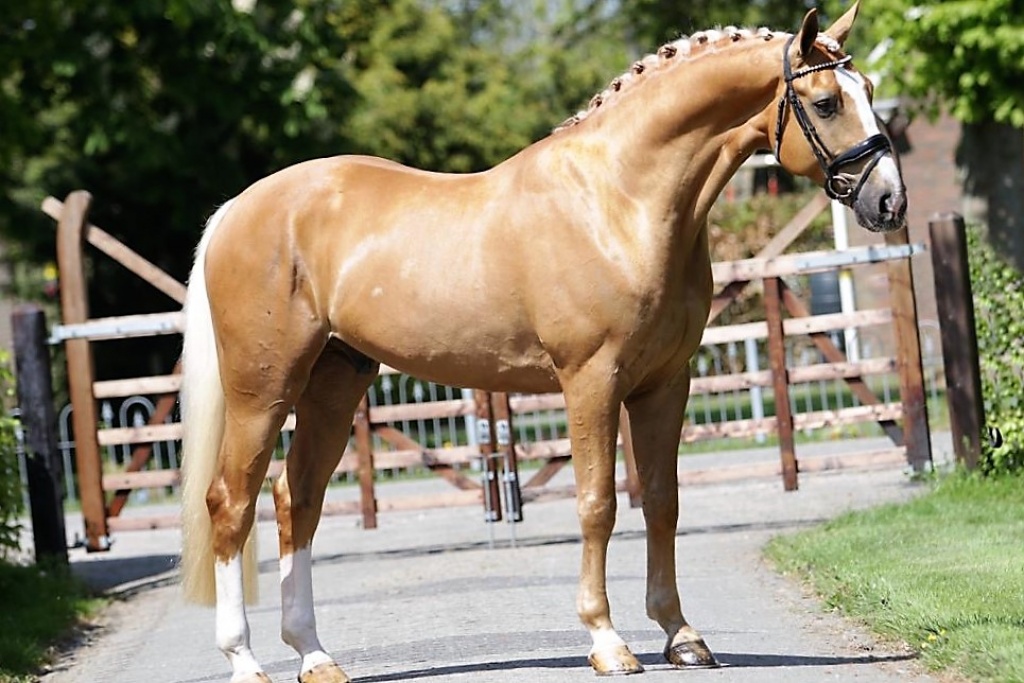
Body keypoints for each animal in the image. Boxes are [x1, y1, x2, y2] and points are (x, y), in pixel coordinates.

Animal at [179, 3, 906, 681]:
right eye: (826, 101)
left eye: (869, 87)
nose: (890, 204)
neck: (619, 201)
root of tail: (237, 208)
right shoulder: (591, 380)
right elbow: (598, 503)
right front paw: (608, 641)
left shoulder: (666, 383)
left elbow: (662, 501)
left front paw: (680, 635)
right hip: (264, 388)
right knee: (231, 501)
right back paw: (244, 658)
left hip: (335, 379)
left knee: (296, 499)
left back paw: (315, 655)